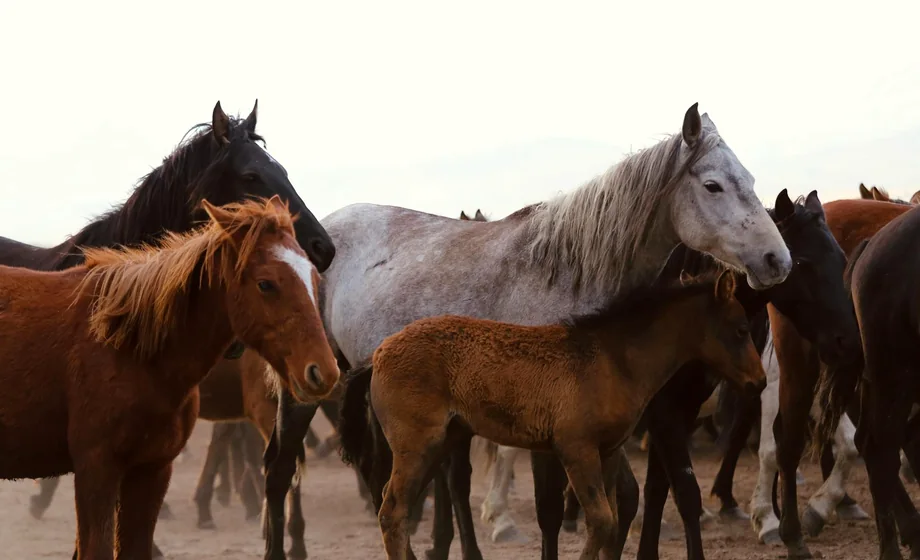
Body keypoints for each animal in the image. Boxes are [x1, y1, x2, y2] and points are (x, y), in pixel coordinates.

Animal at [340, 269, 765, 560]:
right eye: (741, 329)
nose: (759, 382)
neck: (613, 359)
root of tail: (377, 355)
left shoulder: (608, 451)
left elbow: (613, 518)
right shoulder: (575, 449)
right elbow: (600, 520)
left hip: (442, 442)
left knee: (394, 506)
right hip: (417, 445)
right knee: (392, 510)